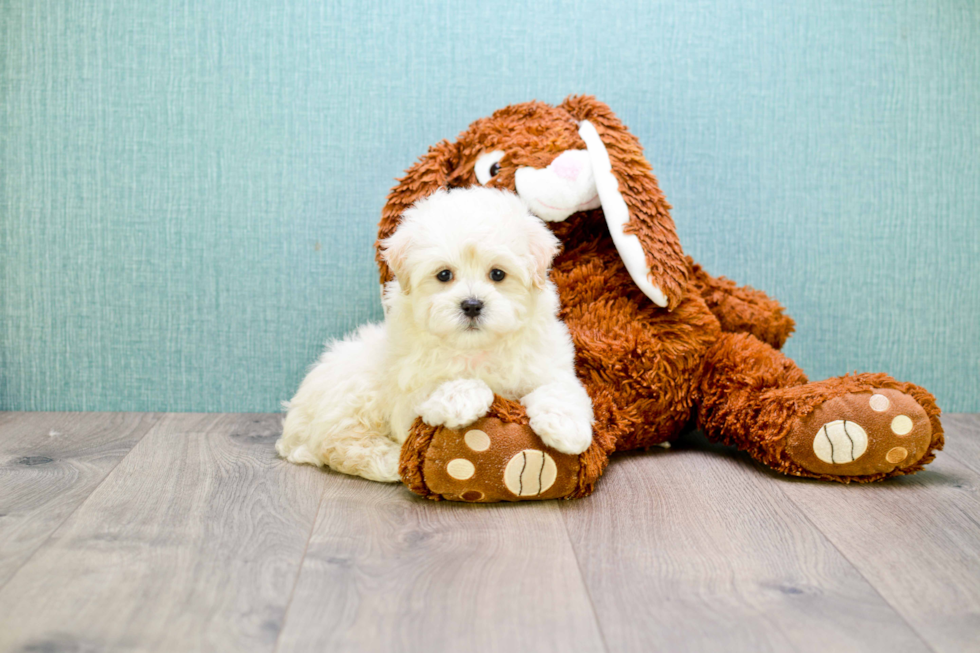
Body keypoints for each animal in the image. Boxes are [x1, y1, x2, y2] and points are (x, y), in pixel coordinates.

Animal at [278, 186, 596, 482]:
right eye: (444, 275)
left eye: (498, 274)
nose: (472, 305)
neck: (476, 348)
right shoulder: (406, 396)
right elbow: (444, 387)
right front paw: (464, 400)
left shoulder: (546, 363)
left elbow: (560, 389)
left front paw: (566, 429)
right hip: (351, 391)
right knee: (340, 444)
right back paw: (392, 461)